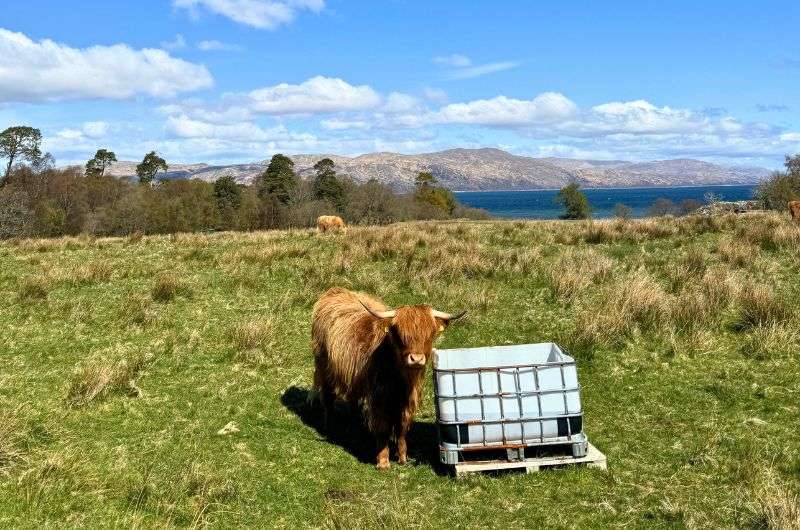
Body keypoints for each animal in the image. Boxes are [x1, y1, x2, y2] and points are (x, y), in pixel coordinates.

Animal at [310, 286, 466, 468]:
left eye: (430, 334)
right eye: (399, 334)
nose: (416, 359)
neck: (400, 379)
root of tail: (335, 290)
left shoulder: (407, 401)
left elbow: (401, 428)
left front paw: (403, 457)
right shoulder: (378, 399)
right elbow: (383, 428)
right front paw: (383, 462)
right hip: (323, 365)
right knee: (328, 396)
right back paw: (329, 425)